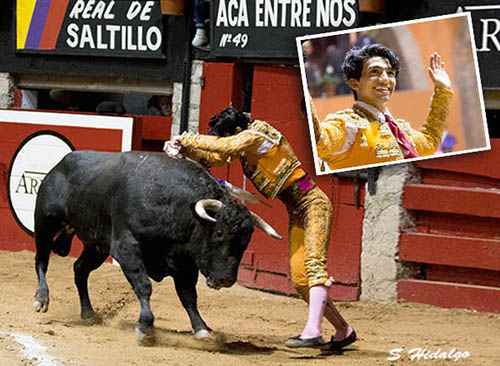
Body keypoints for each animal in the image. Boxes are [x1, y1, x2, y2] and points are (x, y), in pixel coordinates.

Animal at [33, 152, 280, 344]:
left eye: (246, 241)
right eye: (219, 233)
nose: (226, 279)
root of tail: (59, 166)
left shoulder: (184, 263)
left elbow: (189, 296)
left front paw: (202, 329)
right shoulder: (127, 248)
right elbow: (144, 286)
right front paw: (145, 328)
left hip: (97, 246)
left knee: (80, 270)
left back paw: (88, 314)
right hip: (45, 223)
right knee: (41, 260)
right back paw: (41, 299)